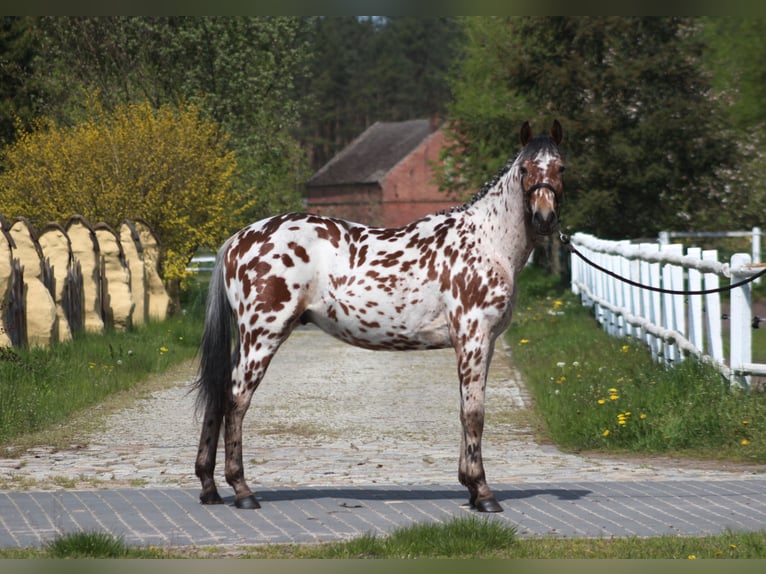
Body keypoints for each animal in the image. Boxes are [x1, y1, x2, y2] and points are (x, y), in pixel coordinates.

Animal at [192, 119, 564, 516]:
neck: (486, 242)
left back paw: (209, 487)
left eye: (560, 168)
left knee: (218, 393)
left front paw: (469, 486)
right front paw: (482, 491)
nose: (544, 218)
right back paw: (242, 490)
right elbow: (474, 413)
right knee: (236, 398)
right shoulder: (472, 338)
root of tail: (238, 240)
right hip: (263, 335)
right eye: (525, 169)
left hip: (246, 339)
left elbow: (467, 408)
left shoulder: (486, 343)